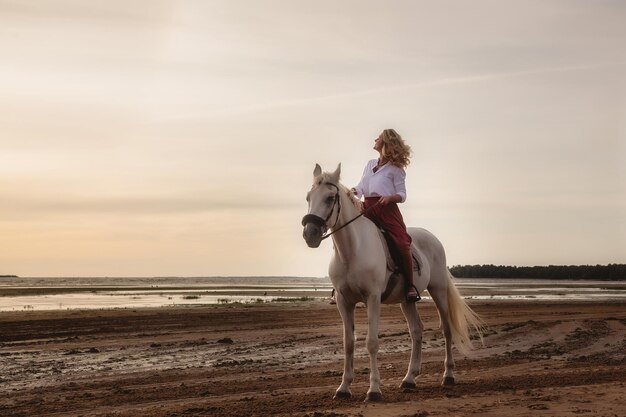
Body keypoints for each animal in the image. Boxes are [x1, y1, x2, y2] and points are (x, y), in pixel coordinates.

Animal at [302, 162, 482, 400]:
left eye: (330, 198)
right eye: (308, 197)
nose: (310, 234)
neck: (352, 251)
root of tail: (432, 237)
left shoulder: (373, 298)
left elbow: (371, 343)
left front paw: (374, 390)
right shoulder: (344, 301)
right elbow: (348, 343)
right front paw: (343, 388)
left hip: (438, 291)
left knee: (446, 329)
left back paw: (448, 375)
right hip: (407, 300)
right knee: (416, 331)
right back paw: (409, 379)